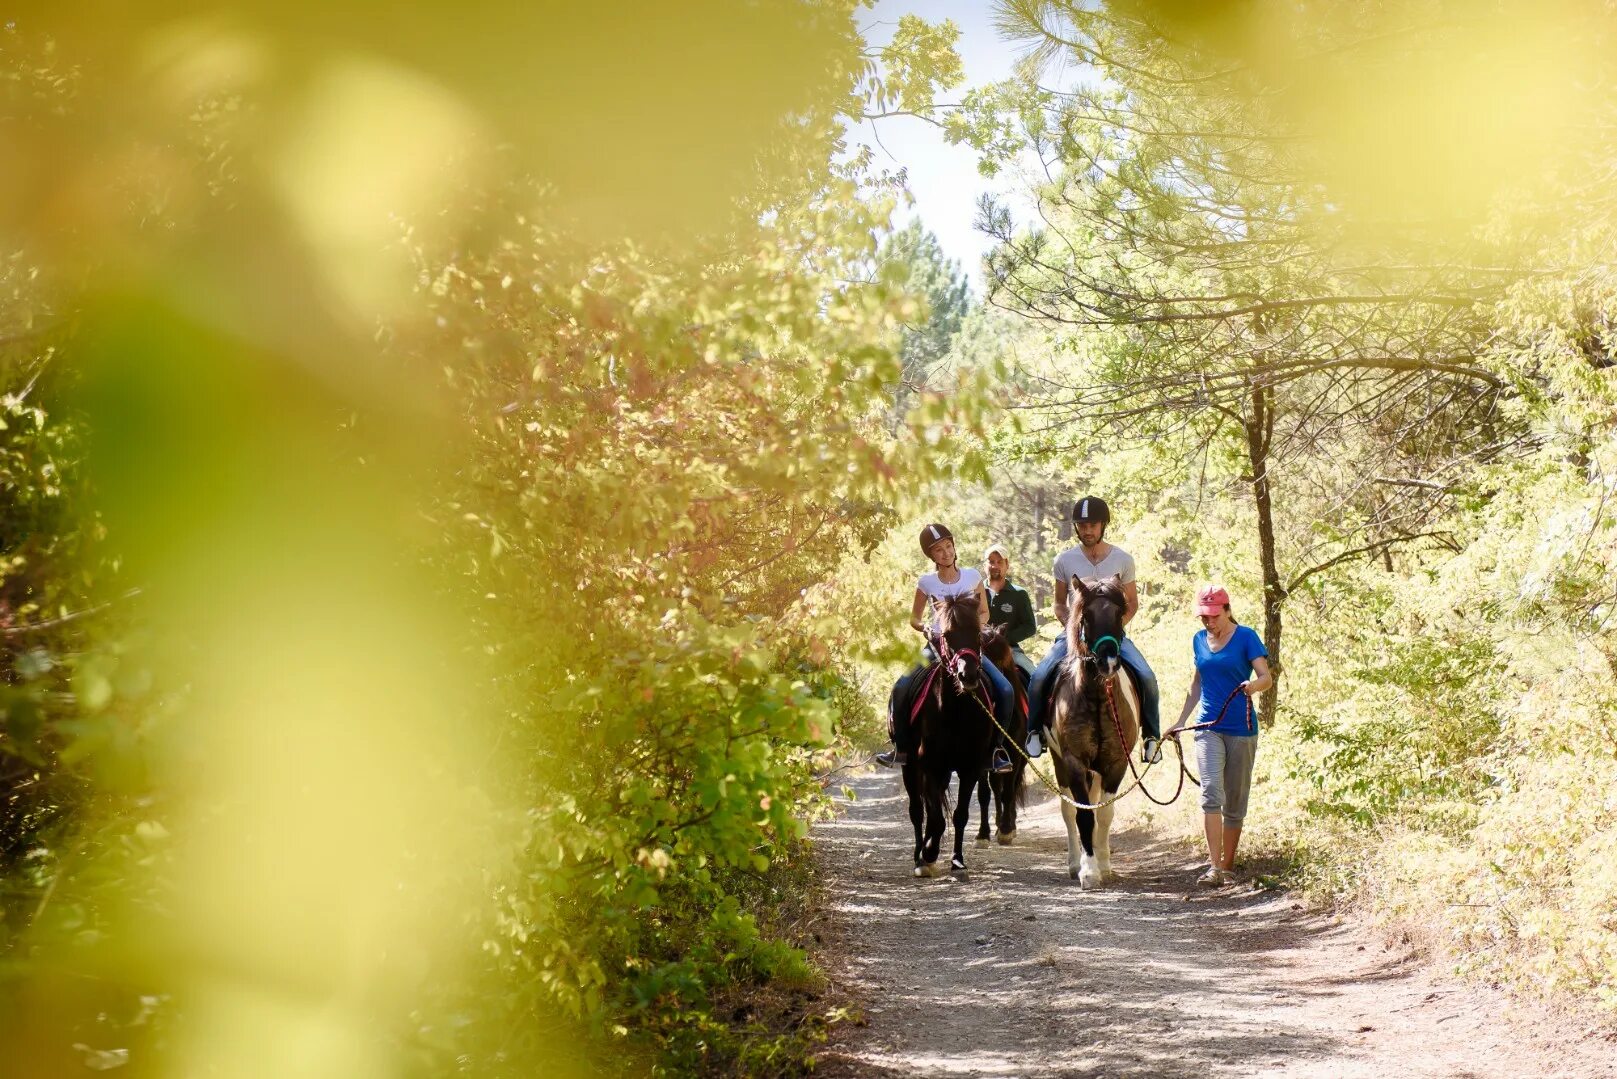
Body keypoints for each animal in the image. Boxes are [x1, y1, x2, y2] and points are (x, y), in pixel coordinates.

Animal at [899, 595, 996, 880]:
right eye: (947, 635)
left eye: (977, 632)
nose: (968, 675)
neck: (956, 709)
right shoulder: (930, 765)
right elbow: (935, 816)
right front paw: (928, 854)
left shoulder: (970, 767)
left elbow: (959, 815)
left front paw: (957, 861)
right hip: (909, 766)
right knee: (917, 811)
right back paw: (920, 855)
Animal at [1041, 579, 1144, 892]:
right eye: (1086, 616)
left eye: (1119, 613)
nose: (1108, 662)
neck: (1098, 696)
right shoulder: (1074, 762)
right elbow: (1084, 815)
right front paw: (1088, 871)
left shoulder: (1116, 762)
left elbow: (1105, 814)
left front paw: (1104, 865)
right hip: (1061, 763)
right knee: (1068, 810)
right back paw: (1075, 863)